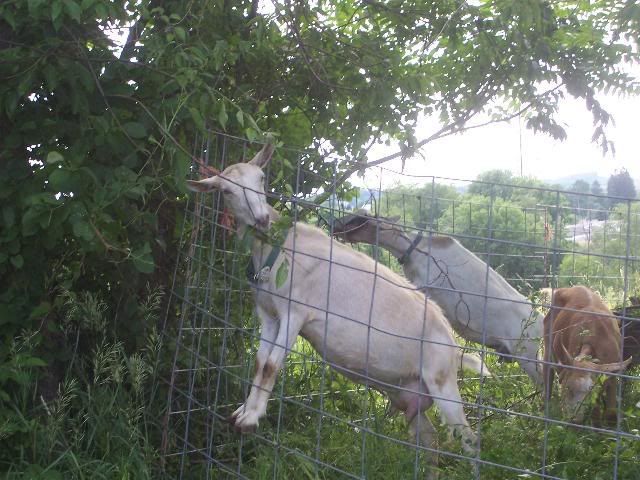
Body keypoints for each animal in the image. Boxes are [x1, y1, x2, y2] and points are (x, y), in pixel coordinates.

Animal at [187, 144, 487, 477]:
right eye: (226, 191)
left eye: (262, 178)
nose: (262, 219)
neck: (280, 248)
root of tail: (453, 343)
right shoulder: (268, 315)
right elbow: (259, 362)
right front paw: (243, 413)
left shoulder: (296, 312)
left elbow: (271, 367)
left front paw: (251, 419)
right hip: (404, 390)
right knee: (429, 438)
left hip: (441, 379)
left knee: (470, 440)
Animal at [332, 211, 543, 385]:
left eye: (360, 218)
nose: (335, 224)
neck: (414, 250)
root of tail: (542, 321)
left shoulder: (426, 286)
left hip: (528, 355)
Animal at [542, 286, 631, 422]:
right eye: (567, 387)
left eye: (589, 392)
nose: (574, 419)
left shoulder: (611, 374)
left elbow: (610, 414)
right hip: (547, 345)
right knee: (547, 379)